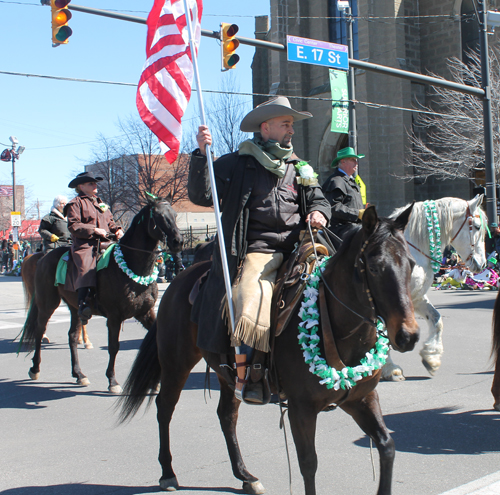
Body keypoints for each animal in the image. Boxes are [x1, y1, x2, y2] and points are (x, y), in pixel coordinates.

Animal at [20, 196, 184, 394]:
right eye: (158, 215)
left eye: (174, 214)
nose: (177, 241)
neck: (132, 266)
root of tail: (43, 258)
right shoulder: (114, 317)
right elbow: (114, 347)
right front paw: (112, 381)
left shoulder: (145, 313)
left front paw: (155, 382)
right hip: (47, 303)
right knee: (39, 330)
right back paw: (35, 368)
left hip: (75, 308)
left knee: (72, 337)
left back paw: (79, 374)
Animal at [119, 203, 420, 494]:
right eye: (375, 267)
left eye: (411, 264)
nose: (409, 335)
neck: (332, 322)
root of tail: (180, 279)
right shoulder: (301, 409)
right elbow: (308, 464)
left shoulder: (361, 399)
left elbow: (387, 447)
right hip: (175, 363)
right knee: (164, 407)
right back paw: (168, 473)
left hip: (228, 376)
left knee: (226, 416)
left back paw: (245, 476)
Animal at [380, 194, 486, 380]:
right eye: (478, 226)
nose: (483, 264)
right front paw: (390, 368)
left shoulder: (416, 297)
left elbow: (436, 319)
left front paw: (431, 358)